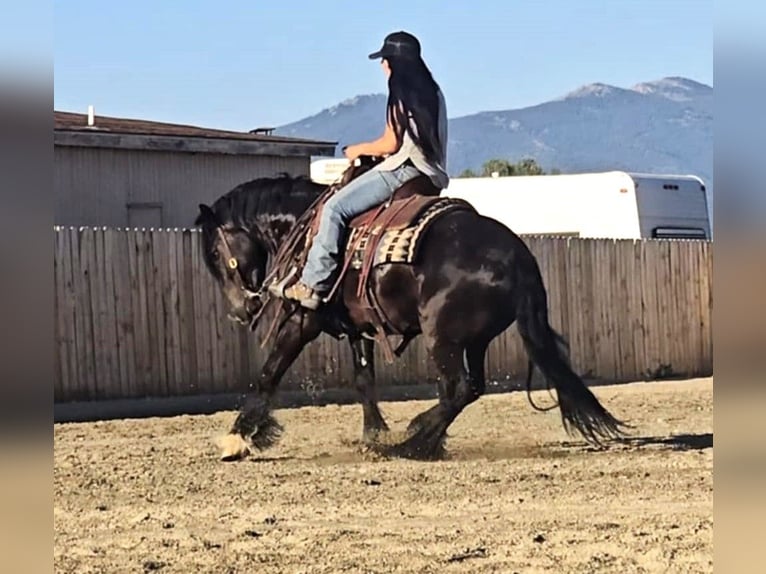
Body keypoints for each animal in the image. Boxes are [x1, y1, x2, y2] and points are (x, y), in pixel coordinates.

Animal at [195, 157, 628, 461]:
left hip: (443, 335)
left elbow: (269, 372)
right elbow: (364, 380)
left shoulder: (303, 319)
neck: (306, 229)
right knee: (469, 388)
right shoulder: (360, 328)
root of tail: (517, 254)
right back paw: (420, 439)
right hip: (474, 339)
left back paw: (413, 443)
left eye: (215, 254)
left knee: (457, 388)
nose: (240, 311)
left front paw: (238, 438)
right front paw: (373, 436)